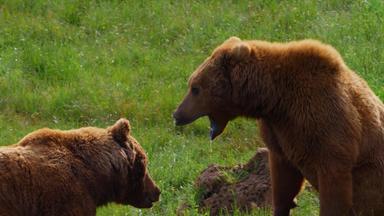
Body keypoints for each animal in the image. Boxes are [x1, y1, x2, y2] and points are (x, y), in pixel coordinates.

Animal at [173, 37, 384, 216]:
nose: (177, 114)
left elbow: (334, 180)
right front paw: (284, 206)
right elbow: (283, 180)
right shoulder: (279, 132)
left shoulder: (325, 121)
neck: (277, 99)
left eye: (195, 88)